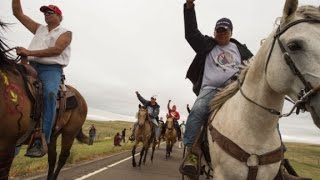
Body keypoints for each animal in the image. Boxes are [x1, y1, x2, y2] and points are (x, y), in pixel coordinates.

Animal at [0, 21, 88, 180]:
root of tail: (81, 99)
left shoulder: (6, 146)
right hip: (53, 135)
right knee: (52, 158)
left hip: (69, 132)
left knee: (62, 157)